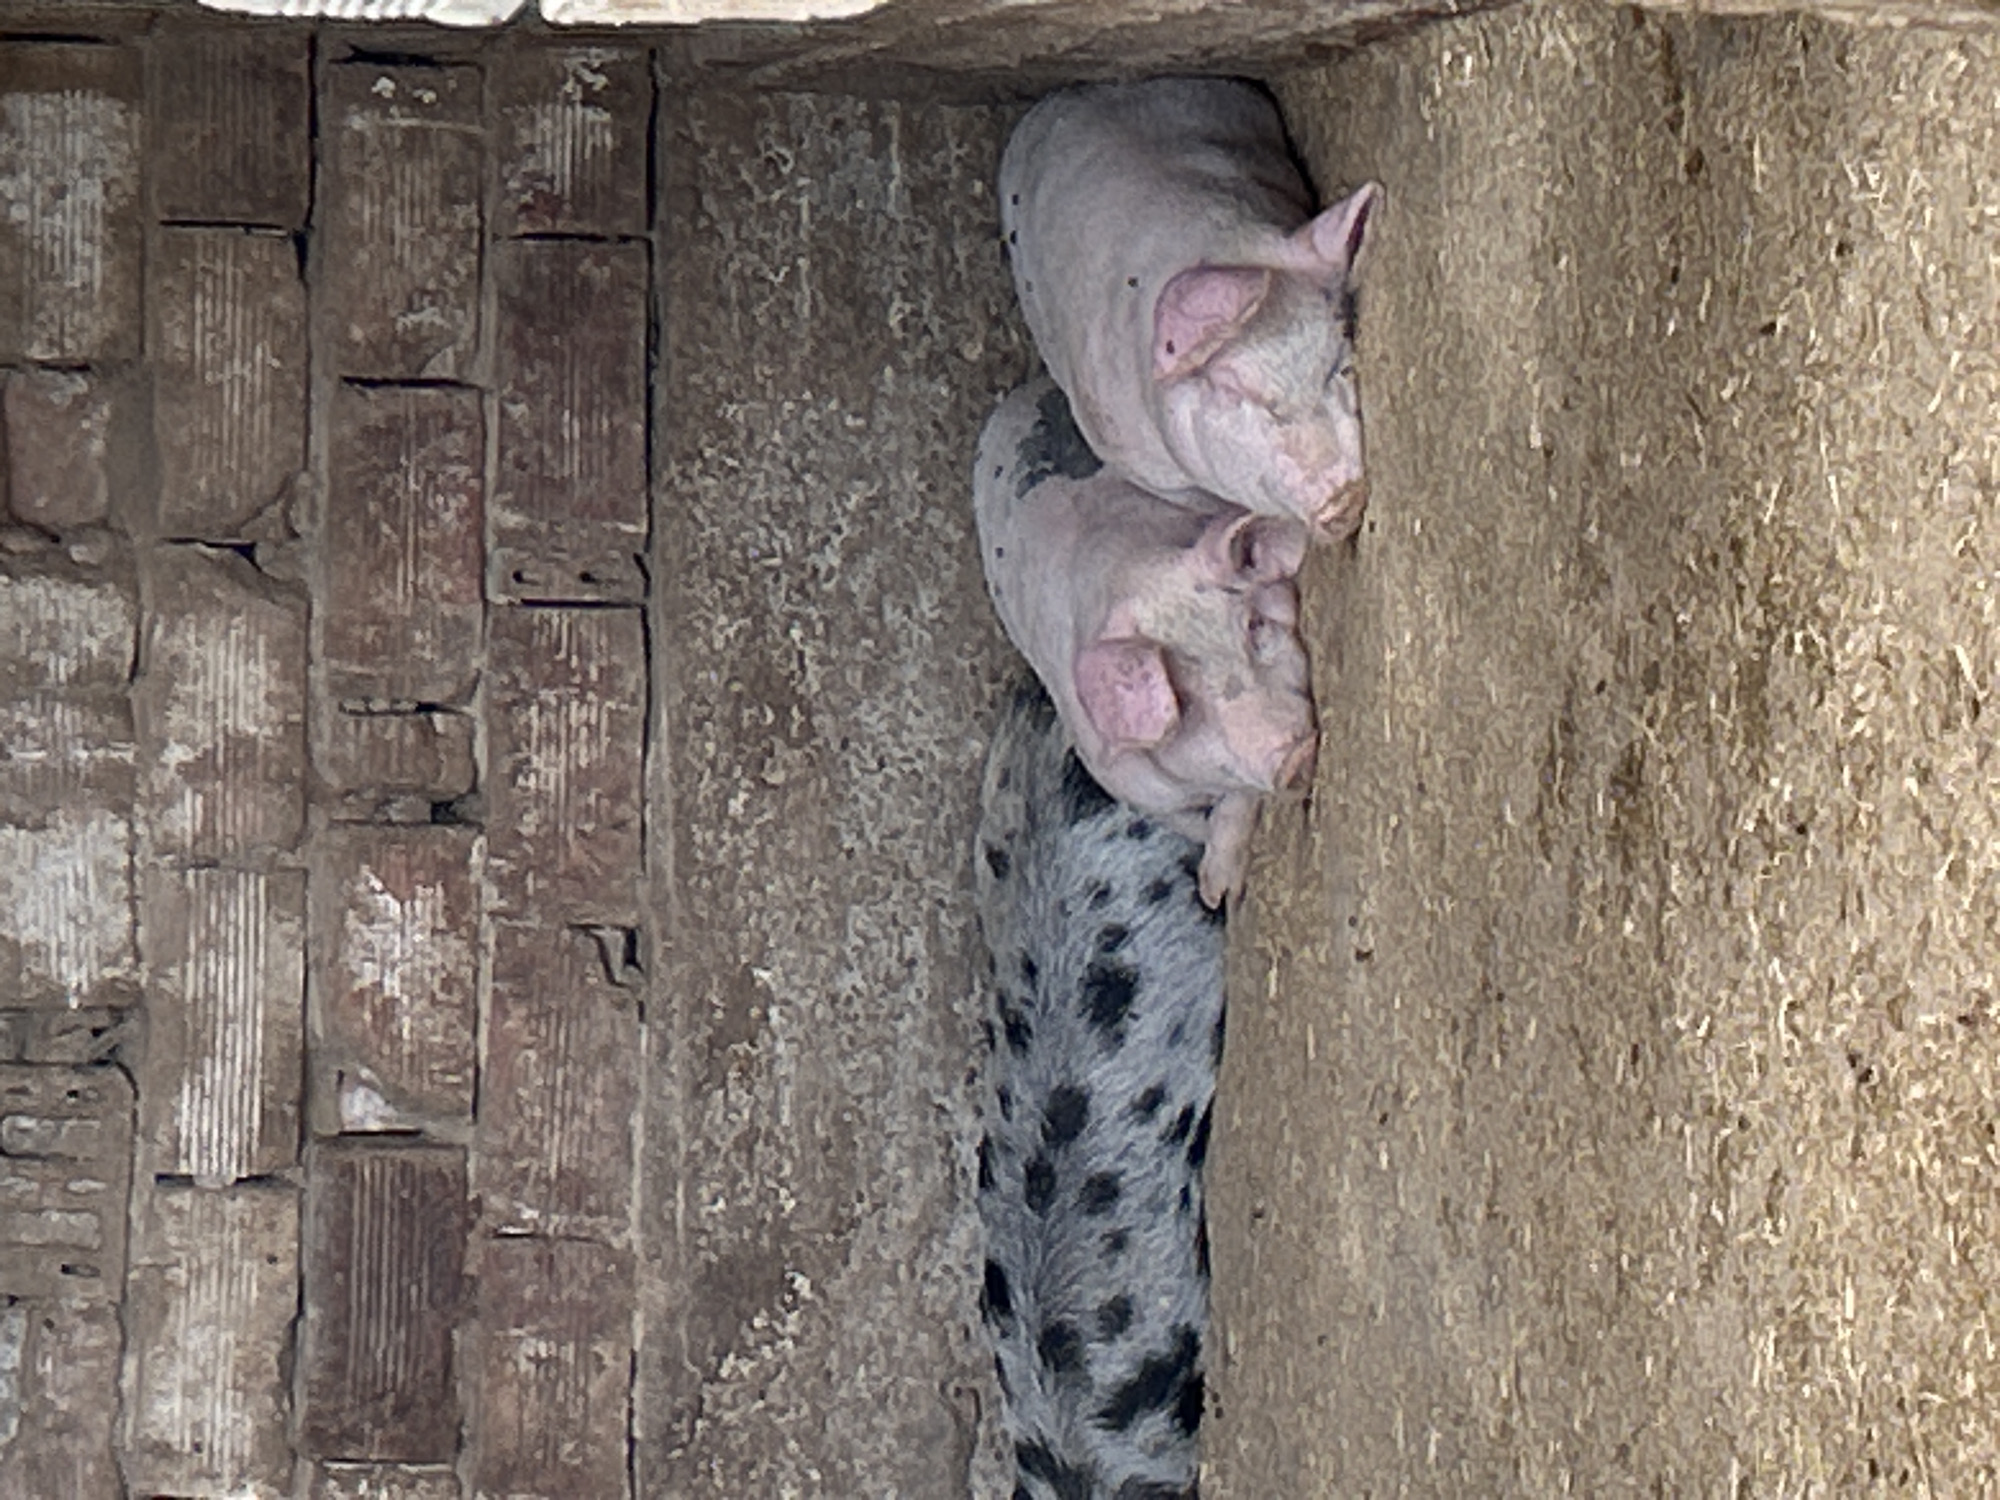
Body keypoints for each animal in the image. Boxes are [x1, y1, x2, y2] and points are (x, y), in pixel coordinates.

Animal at [975, 375, 1316, 907]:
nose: (1295, 755)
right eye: (1186, 703)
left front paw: (1221, 891)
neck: (1130, 573)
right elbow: (1192, 824)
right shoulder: (1128, 785)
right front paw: (1216, 896)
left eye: (1254, 626)